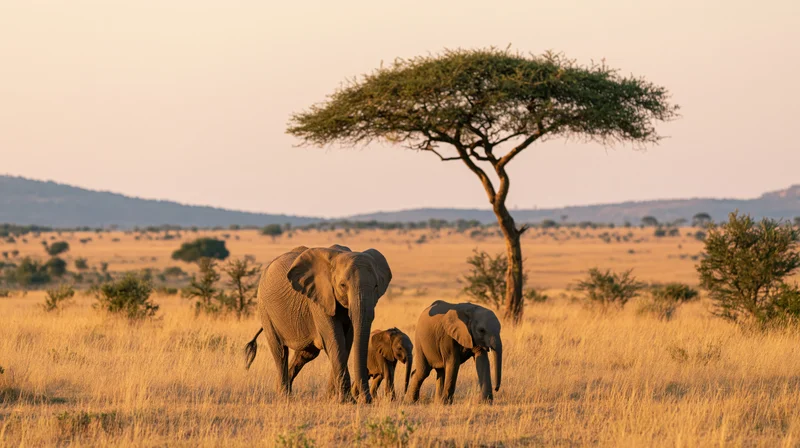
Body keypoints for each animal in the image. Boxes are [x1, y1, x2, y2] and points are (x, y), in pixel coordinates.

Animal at [244, 244, 391, 403]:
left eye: (376, 286)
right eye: (343, 285)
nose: (367, 400)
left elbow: (346, 343)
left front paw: (332, 398)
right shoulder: (320, 298)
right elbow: (335, 341)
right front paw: (346, 401)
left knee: (305, 354)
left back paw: (283, 391)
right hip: (265, 308)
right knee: (280, 352)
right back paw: (284, 396)